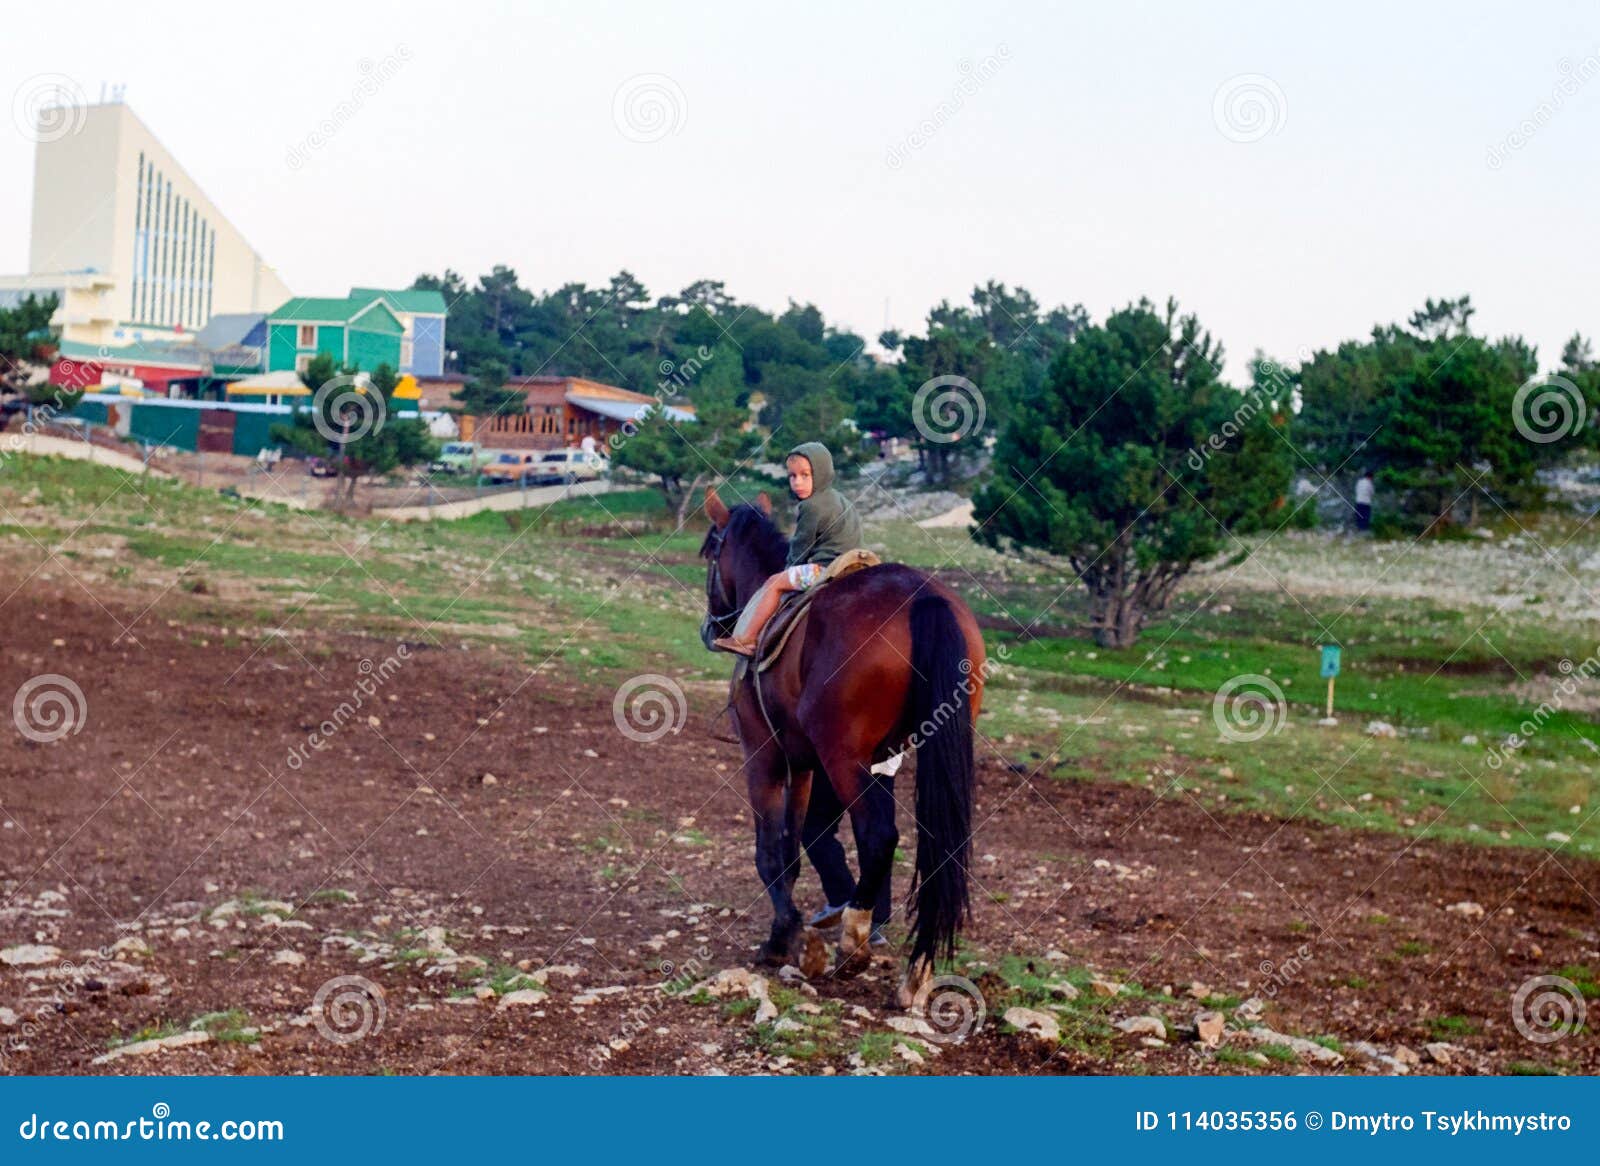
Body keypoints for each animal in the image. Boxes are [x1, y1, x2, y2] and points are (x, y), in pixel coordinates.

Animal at [700, 488, 985, 1005]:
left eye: (711, 550)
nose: (714, 625)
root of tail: (924, 598)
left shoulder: (764, 757)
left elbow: (770, 852)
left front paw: (785, 939)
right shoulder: (804, 766)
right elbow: (793, 849)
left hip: (841, 762)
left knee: (878, 836)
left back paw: (854, 945)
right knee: (936, 849)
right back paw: (916, 970)